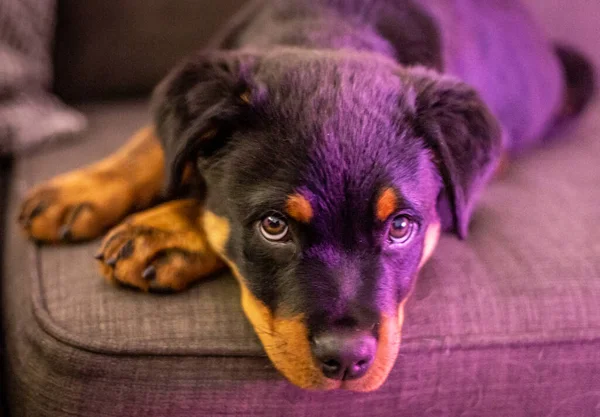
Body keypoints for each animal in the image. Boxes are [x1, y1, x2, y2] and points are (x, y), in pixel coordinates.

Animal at [16, 0, 592, 390]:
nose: (347, 360)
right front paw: (82, 188)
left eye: (401, 227)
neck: (329, 30)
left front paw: (164, 230)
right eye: (275, 226)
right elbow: (152, 141)